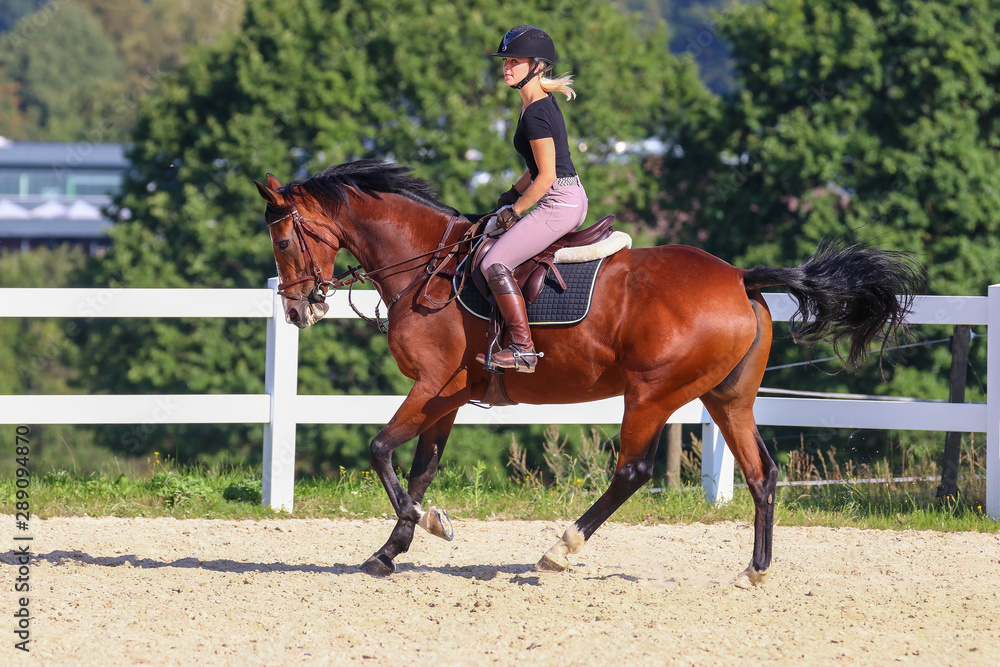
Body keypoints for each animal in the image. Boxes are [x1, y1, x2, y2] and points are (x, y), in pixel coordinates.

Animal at [252, 159, 920, 588]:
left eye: (283, 241)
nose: (297, 309)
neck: (426, 266)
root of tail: (738, 277)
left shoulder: (432, 386)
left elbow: (381, 449)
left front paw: (429, 524)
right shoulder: (448, 397)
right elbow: (418, 467)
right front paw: (391, 550)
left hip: (652, 393)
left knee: (632, 471)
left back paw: (560, 550)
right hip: (727, 399)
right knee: (763, 474)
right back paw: (755, 570)